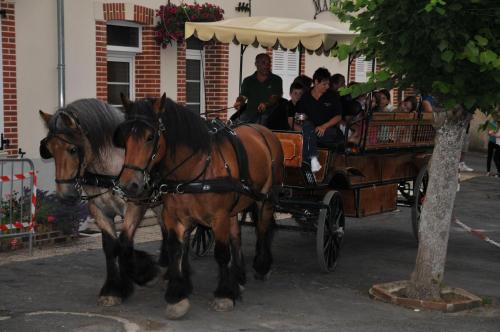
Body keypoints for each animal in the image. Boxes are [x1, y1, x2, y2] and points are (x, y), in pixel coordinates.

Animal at [39, 98, 167, 306]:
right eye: (49, 150)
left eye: (72, 149)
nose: (65, 195)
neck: (112, 168)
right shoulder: (99, 210)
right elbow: (110, 246)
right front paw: (113, 289)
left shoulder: (135, 205)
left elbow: (124, 243)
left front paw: (145, 273)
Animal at [114, 93, 286, 320]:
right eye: (124, 137)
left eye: (150, 137)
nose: (128, 185)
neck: (194, 169)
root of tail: (263, 130)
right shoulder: (174, 217)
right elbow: (176, 250)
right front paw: (177, 295)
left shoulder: (219, 217)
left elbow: (221, 253)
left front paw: (224, 295)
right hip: (234, 207)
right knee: (236, 236)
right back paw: (239, 277)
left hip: (264, 199)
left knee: (263, 229)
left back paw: (261, 266)